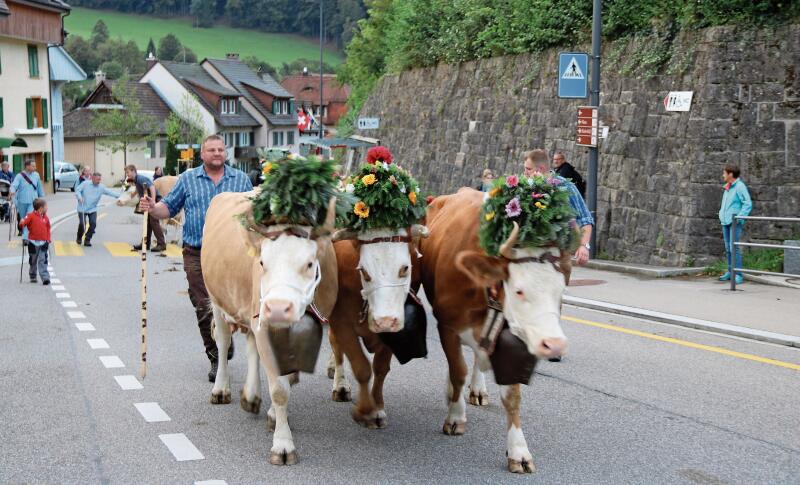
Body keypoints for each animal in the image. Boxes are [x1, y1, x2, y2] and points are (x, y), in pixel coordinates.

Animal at [202, 190, 340, 466]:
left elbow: (288, 377)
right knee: (222, 342)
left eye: (310, 264)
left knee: (251, 347)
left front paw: (275, 416)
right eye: (262, 263)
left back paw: (251, 396)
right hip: (217, 300)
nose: (277, 308)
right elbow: (279, 390)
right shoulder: (263, 324)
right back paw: (221, 389)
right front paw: (283, 445)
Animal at [324, 225, 428, 426]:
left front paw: (378, 407)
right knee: (335, 343)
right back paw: (340, 384)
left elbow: (380, 368)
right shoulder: (341, 321)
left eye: (405, 268)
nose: (384, 321)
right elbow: (361, 368)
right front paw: (366, 410)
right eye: (364, 271)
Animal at [422, 188, 572, 472]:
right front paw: (456, 417)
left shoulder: (513, 337)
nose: (555, 345)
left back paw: (476, 389)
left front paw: (519, 451)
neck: (487, 289)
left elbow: (512, 396)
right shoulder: (447, 324)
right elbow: (457, 371)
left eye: (561, 291)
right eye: (519, 290)